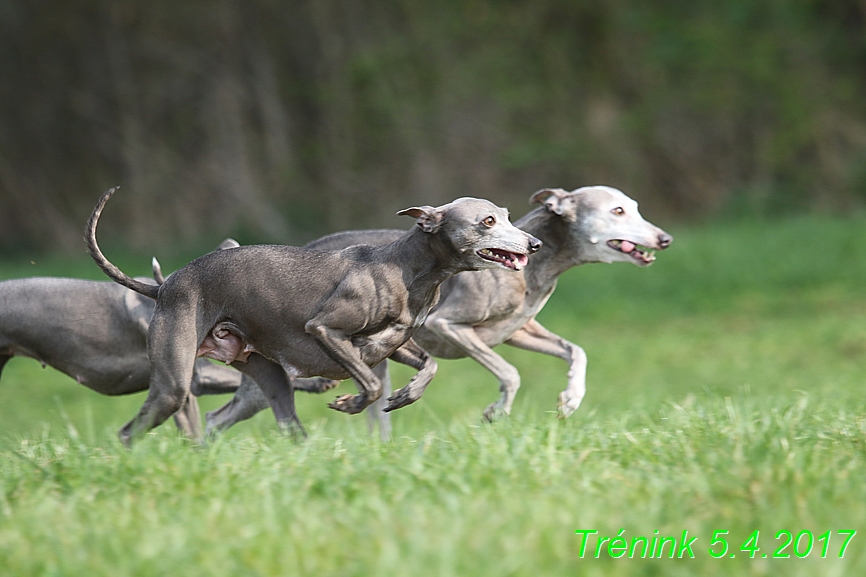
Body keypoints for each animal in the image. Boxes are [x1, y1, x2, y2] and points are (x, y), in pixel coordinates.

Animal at [84, 187, 536, 444]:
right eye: (488, 221)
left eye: (507, 215)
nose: (533, 243)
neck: (406, 268)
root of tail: (164, 287)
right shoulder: (326, 331)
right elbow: (371, 384)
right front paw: (352, 402)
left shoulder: (390, 345)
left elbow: (429, 366)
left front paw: (405, 395)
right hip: (173, 383)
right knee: (130, 430)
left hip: (269, 376)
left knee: (286, 425)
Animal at [206, 184, 672, 436]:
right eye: (617, 211)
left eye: (634, 207)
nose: (664, 238)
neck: (536, 270)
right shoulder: (453, 326)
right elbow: (510, 374)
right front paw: (496, 412)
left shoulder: (519, 332)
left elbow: (577, 351)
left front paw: (570, 400)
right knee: (217, 416)